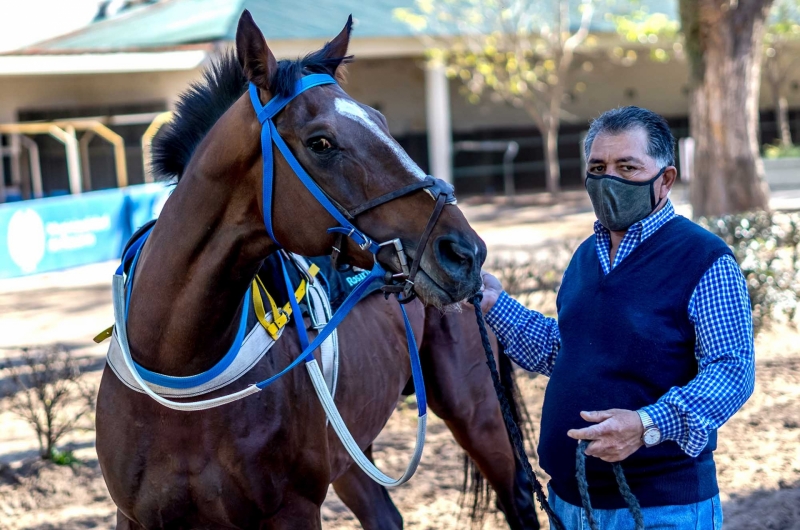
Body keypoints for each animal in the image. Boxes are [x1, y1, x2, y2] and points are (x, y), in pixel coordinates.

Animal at [98, 12, 536, 528]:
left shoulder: (294, 508)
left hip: (476, 409)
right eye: (321, 143)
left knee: (518, 497)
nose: (464, 253)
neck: (181, 371)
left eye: (382, 123)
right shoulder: (136, 516)